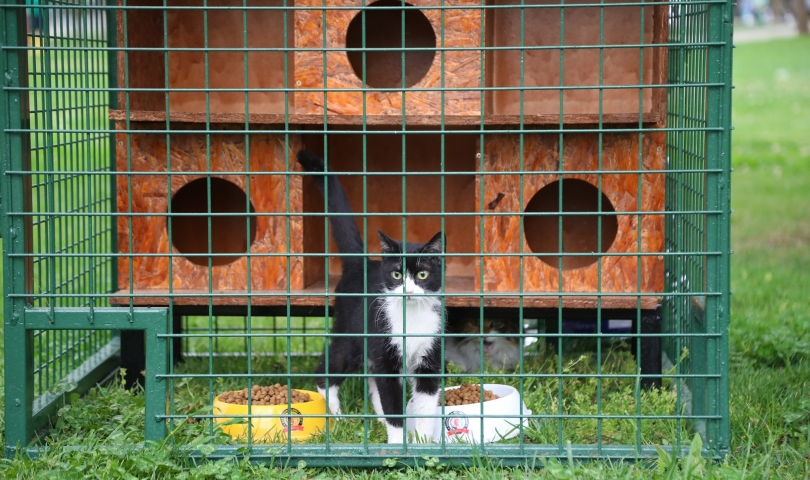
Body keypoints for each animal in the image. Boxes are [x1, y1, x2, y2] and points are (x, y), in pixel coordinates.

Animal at [296, 150, 442, 442]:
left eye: (422, 275)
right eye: (396, 274)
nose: (409, 290)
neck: (411, 319)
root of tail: (359, 263)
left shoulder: (429, 356)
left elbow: (425, 404)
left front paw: (422, 442)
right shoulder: (385, 351)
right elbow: (392, 400)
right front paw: (397, 443)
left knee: (373, 385)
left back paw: (377, 420)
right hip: (351, 334)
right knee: (328, 368)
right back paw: (335, 415)